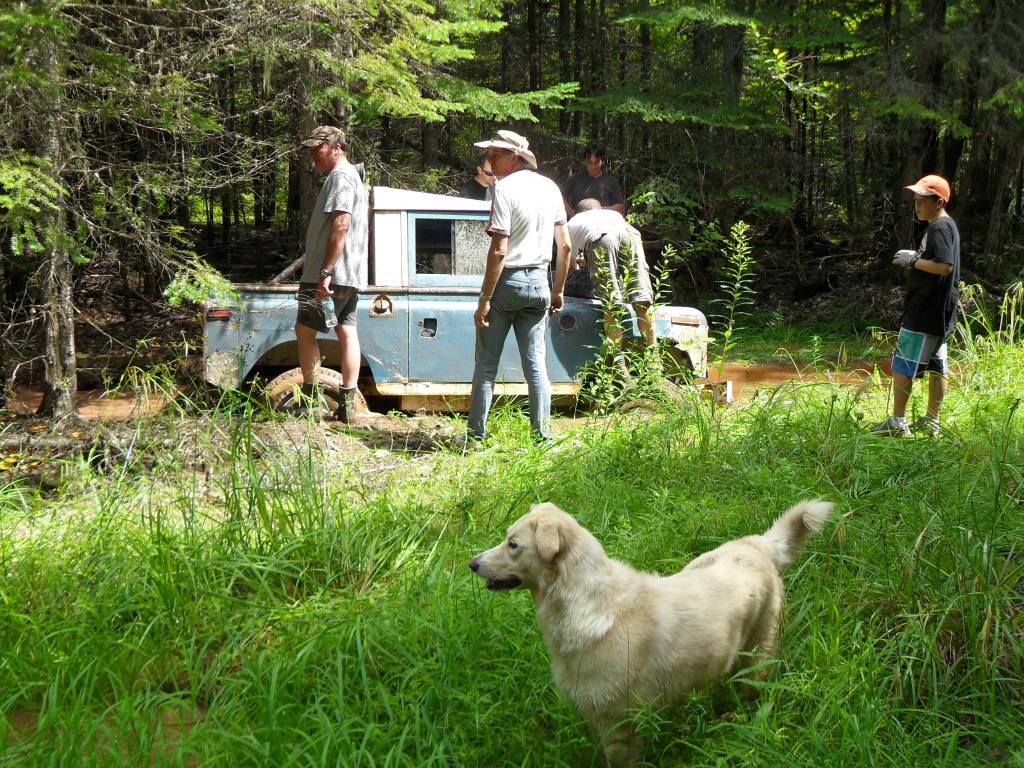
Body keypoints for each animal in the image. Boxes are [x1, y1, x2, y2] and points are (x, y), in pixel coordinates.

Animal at [469, 499, 832, 766]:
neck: (587, 604)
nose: (472, 563)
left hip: (758, 657)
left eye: (513, 544)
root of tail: (756, 545)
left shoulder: (618, 728)